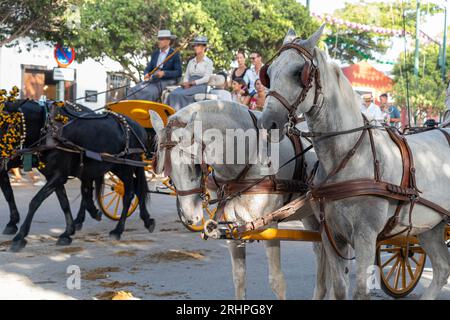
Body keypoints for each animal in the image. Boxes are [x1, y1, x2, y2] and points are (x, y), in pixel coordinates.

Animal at [149, 102, 332, 300]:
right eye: (168, 172)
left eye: (195, 165)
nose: (191, 217)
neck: (247, 161)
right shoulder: (231, 227)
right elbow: (239, 278)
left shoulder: (270, 226)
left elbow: (277, 281)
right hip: (310, 215)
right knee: (322, 250)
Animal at [258, 25, 450, 300]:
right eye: (269, 72)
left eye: (298, 73)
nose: (267, 122)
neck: (348, 156)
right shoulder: (331, 234)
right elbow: (339, 287)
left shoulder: (365, 235)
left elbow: (360, 290)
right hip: (430, 226)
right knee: (442, 269)